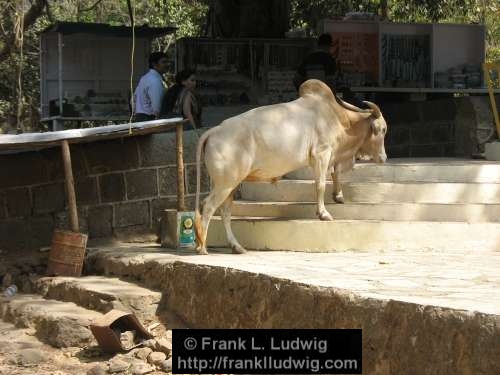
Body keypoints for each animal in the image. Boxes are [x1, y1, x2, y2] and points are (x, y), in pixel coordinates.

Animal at [194, 80, 386, 256]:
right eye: (383, 129)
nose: (383, 158)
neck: (337, 118)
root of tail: (214, 131)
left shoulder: (330, 156)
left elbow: (334, 173)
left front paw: (338, 196)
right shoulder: (321, 154)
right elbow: (321, 185)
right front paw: (323, 213)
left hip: (230, 185)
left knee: (225, 211)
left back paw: (236, 247)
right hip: (225, 184)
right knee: (208, 206)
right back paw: (202, 247)